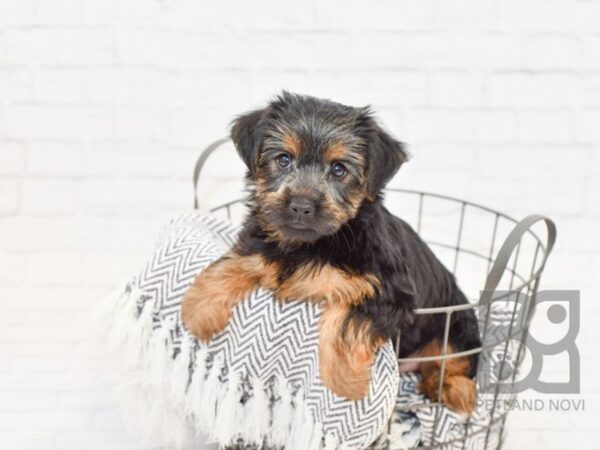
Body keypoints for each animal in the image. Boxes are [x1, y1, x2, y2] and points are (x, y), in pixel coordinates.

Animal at [180, 91, 480, 414]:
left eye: (339, 169)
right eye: (284, 159)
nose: (300, 206)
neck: (318, 242)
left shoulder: (391, 293)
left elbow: (348, 321)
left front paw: (345, 382)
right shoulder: (260, 243)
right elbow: (239, 260)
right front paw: (199, 309)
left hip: (457, 327)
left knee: (455, 362)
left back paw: (454, 390)